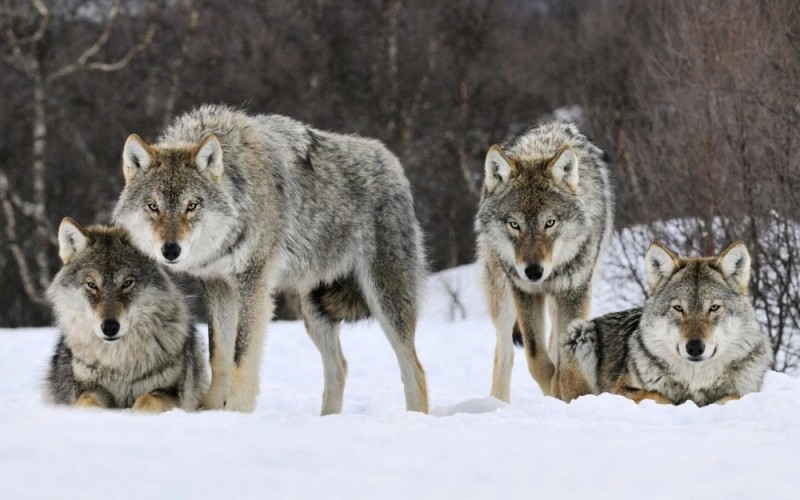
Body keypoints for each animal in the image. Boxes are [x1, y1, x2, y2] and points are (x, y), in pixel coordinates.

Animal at [45, 218, 208, 410]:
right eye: (92, 285)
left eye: (127, 283)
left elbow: (147, 400)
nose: (110, 327)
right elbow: (88, 402)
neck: (119, 362)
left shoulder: (171, 392)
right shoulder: (88, 387)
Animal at [113, 105, 428, 414]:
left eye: (191, 206)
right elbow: (219, 356)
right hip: (314, 312)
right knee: (339, 367)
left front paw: (237, 413)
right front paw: (212, 410)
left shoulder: (253, 285)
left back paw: (414, 417)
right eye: (153, 206)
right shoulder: (217, 286)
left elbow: (241, 357)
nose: (170, 250)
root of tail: (392, 162)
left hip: (385, 301)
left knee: (414, 369)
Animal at [476, 121, 612, 402]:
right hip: (502, 296)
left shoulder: (575, 292)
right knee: (504, 352)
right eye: (514, 224)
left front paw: (564, 394)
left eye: (550, 223)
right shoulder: (525, 292)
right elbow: (536, 358)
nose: (534, 272)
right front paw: (553, 390)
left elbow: (563, 358)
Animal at [564, 240, 776, 404]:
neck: (696, 380)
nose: (695, 348)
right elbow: (659, 396)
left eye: (714, 308)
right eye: (679, 308)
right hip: (580, 334)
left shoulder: (745, 392)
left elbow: (732, 397)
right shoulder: (621, 390)